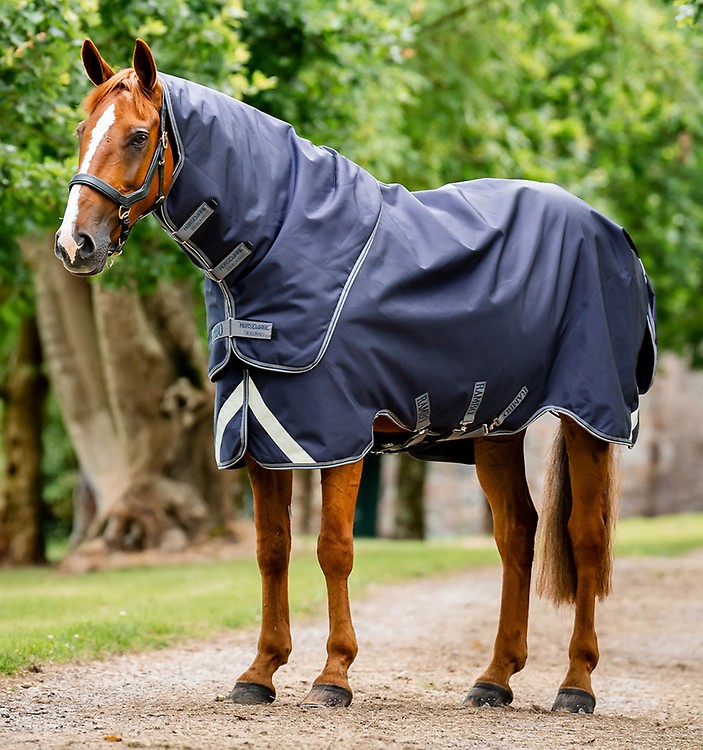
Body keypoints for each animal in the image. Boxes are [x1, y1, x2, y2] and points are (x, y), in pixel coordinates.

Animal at [55, 39, 656, 713]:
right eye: (82, 130)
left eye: (138, 136)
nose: (75, 244)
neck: (277, 248)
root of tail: (614, 234)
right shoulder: (259, 432)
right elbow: (272, 549)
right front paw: (260, 671)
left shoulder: (337, 432)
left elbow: (333, 548)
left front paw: (333, 674)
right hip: (497, 429)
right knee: (517, 535)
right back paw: (494, 678)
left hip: (589, 417)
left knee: (583, 537)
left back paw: (576, 684)